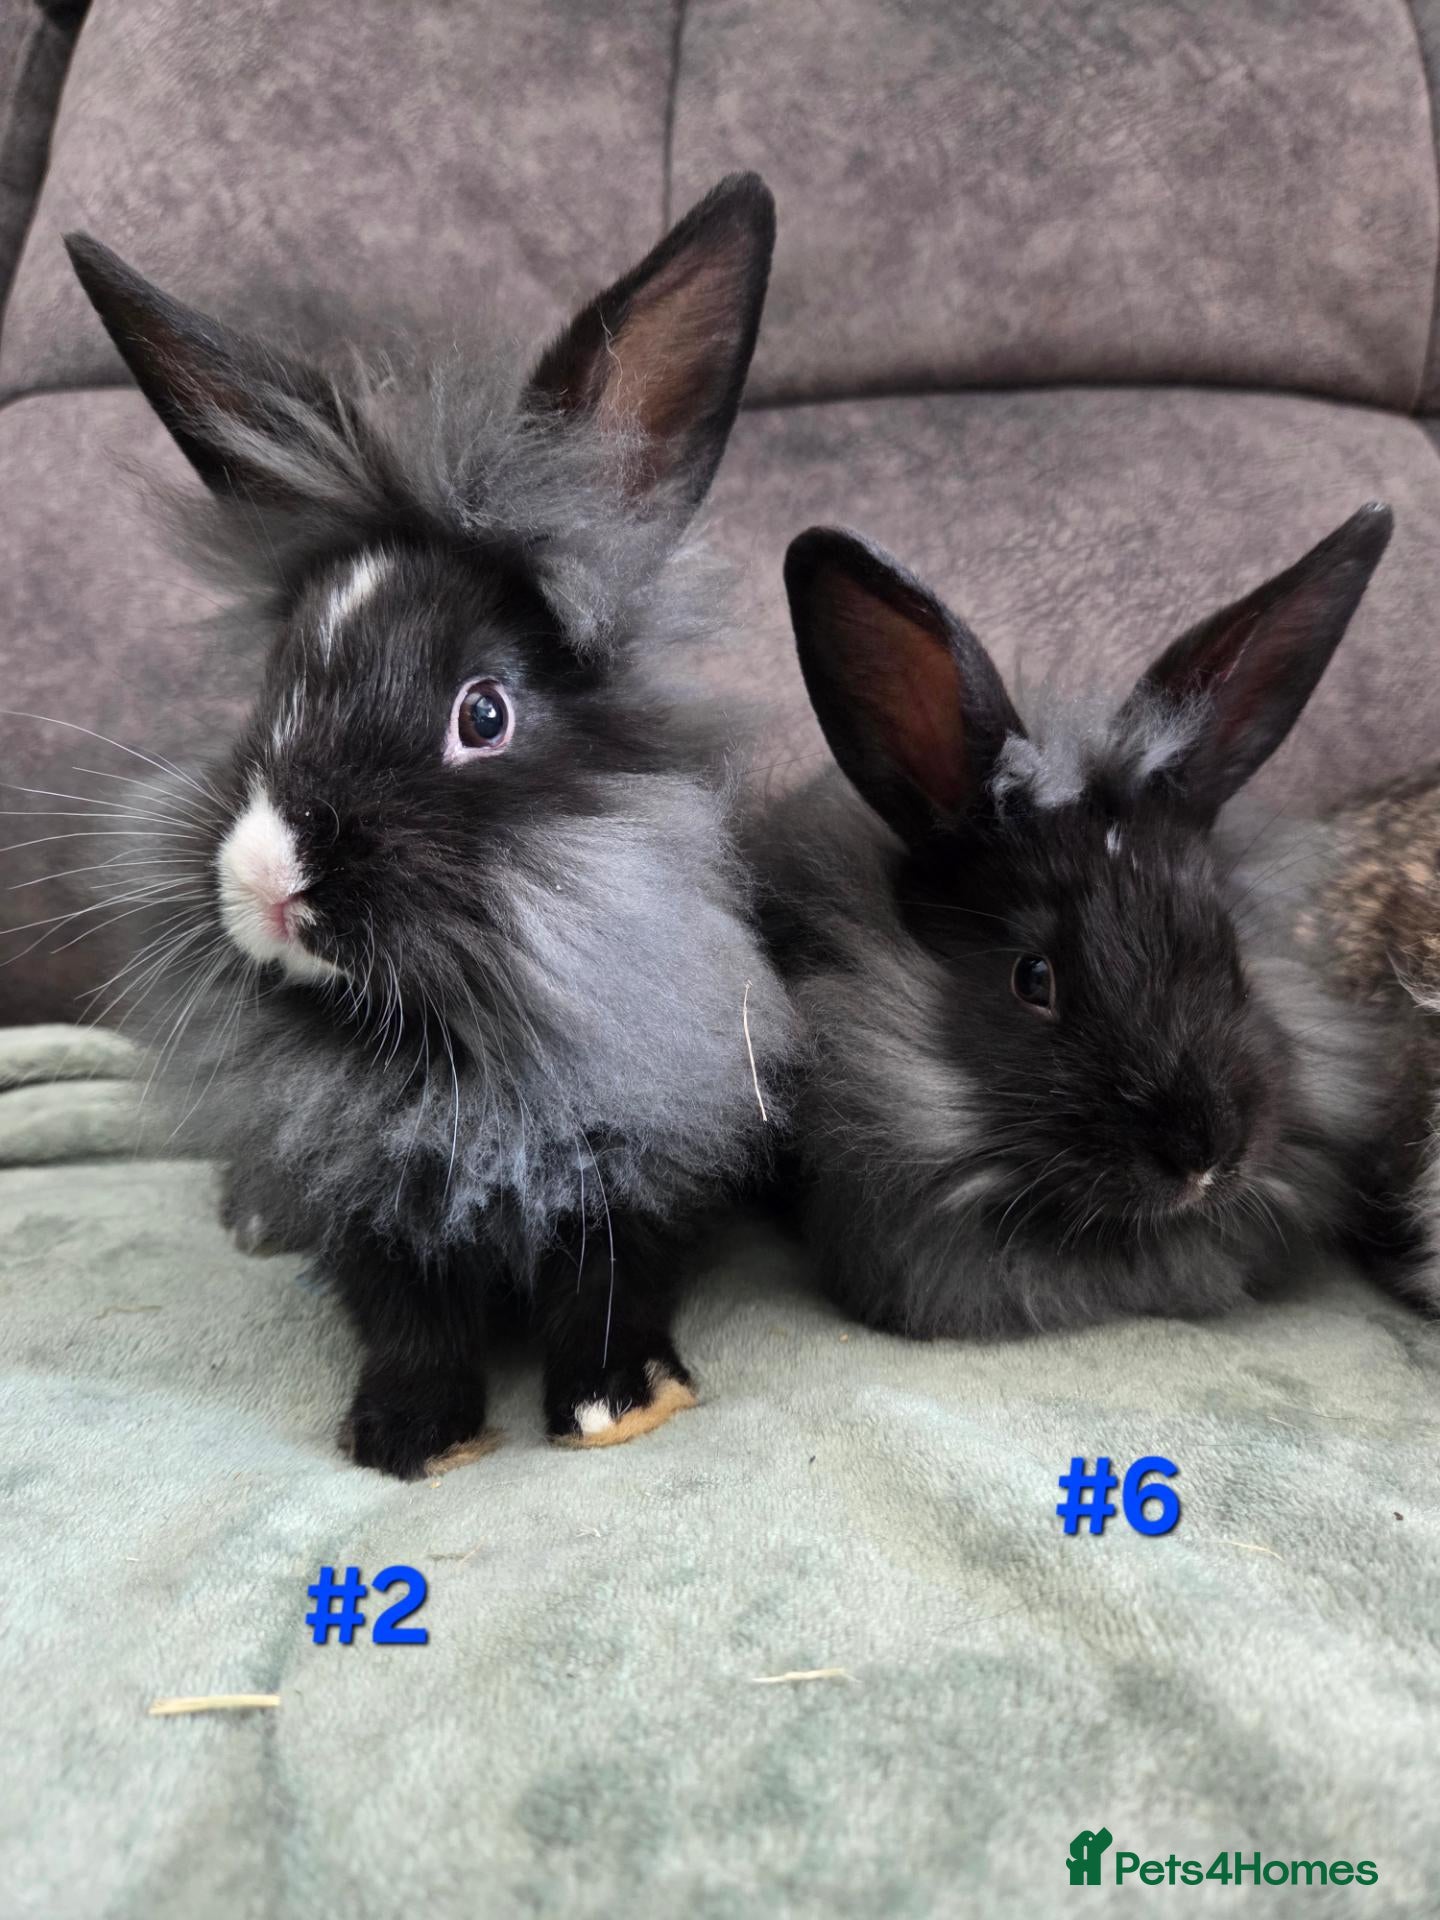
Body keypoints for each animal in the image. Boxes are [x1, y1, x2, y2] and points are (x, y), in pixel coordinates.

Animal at [61, 173, 795, 1476]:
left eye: (484, 714)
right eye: (271, 690)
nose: (269, 886)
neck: (447, 1046)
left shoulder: (643, 1156)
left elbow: (611, 1284)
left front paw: (620, 1403)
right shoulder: (364, 1189)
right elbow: (402, 1310)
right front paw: (408, 1435)